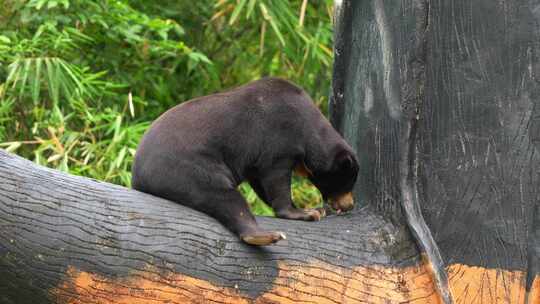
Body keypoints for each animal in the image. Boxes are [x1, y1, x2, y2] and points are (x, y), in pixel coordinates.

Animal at [131, 77, 358, 246]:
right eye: (348, 182)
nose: (349, 205)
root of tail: (137, 177)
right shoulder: (280, 138)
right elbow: (276, 179)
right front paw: (308, 212)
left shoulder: (254, 164)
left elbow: (261, 184)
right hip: (188, 169)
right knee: (224, 196)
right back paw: (266, 236)